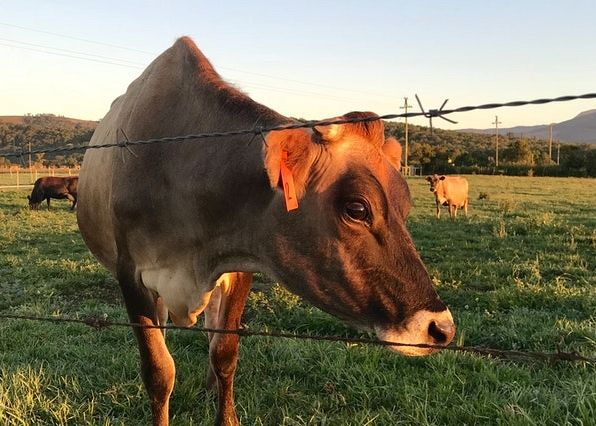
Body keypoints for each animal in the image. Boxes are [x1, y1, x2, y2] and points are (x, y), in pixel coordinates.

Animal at [75, 37, 456, 426]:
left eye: (406, 205)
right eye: (357, 209)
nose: (441, 328)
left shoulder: (238, 264)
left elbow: (225, 352)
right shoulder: (130, 274)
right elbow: (158, 370)